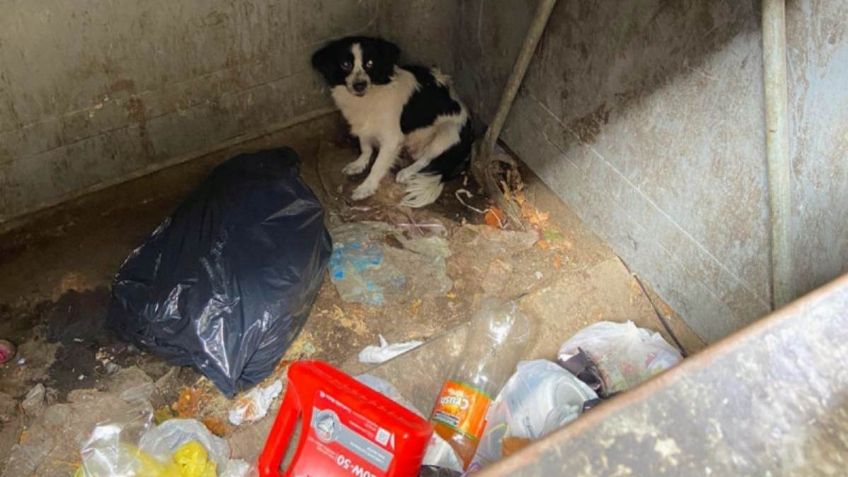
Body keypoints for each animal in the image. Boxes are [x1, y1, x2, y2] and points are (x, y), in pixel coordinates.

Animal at [312, 36, 474, 207]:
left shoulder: (392, 139)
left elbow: (377, 166)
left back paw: (406, 172)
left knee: (426, 159)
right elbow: (366, 148)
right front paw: (359, 164)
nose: (359, 85)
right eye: (345, 64)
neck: (369, 98)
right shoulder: (364, 126)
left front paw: (366, 187)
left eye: (370, 63)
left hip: (448, 131)